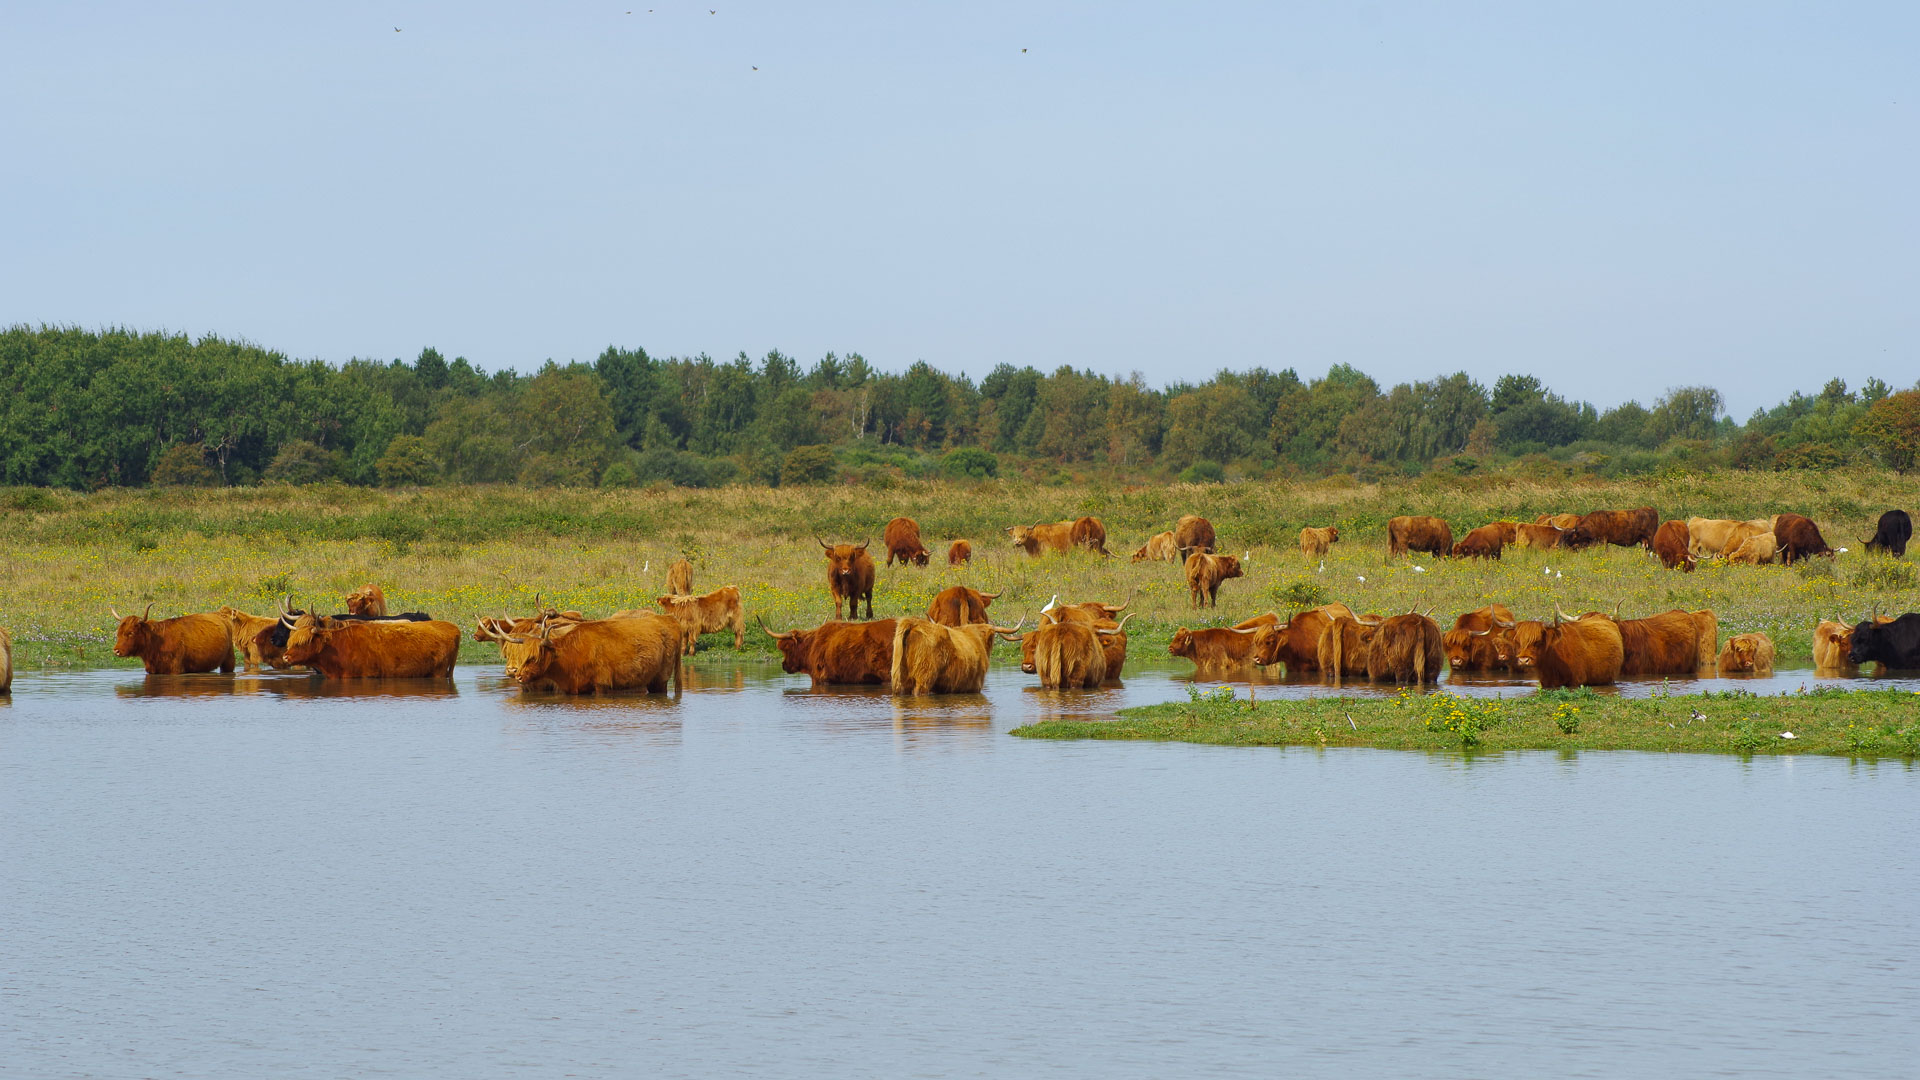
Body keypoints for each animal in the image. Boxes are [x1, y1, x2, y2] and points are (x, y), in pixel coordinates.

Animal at [507, 615, 682, 695]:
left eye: (534, 658)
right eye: (521, 657)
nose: (518, 676)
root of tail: (668, 618)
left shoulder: (602, 686)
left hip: (660, 680)